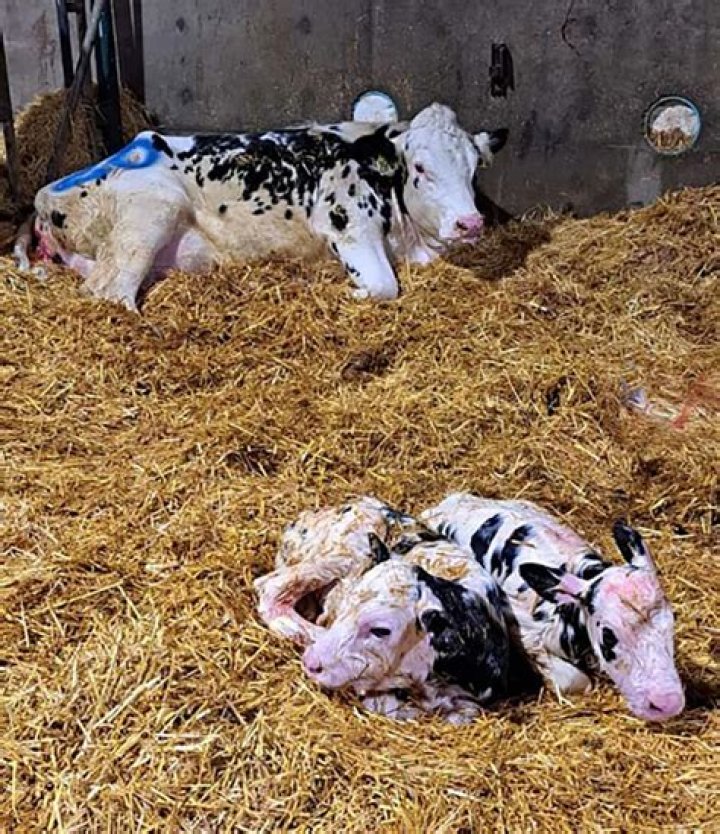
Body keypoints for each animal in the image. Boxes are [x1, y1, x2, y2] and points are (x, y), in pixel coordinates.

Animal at [20, 103, 507, 310]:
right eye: (421, 168)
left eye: (474, 169)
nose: (469, 223)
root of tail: (45, 194)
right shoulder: (345, 225)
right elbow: (385, 287)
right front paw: (344, 291)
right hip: (149, 214)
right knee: (110, 292)